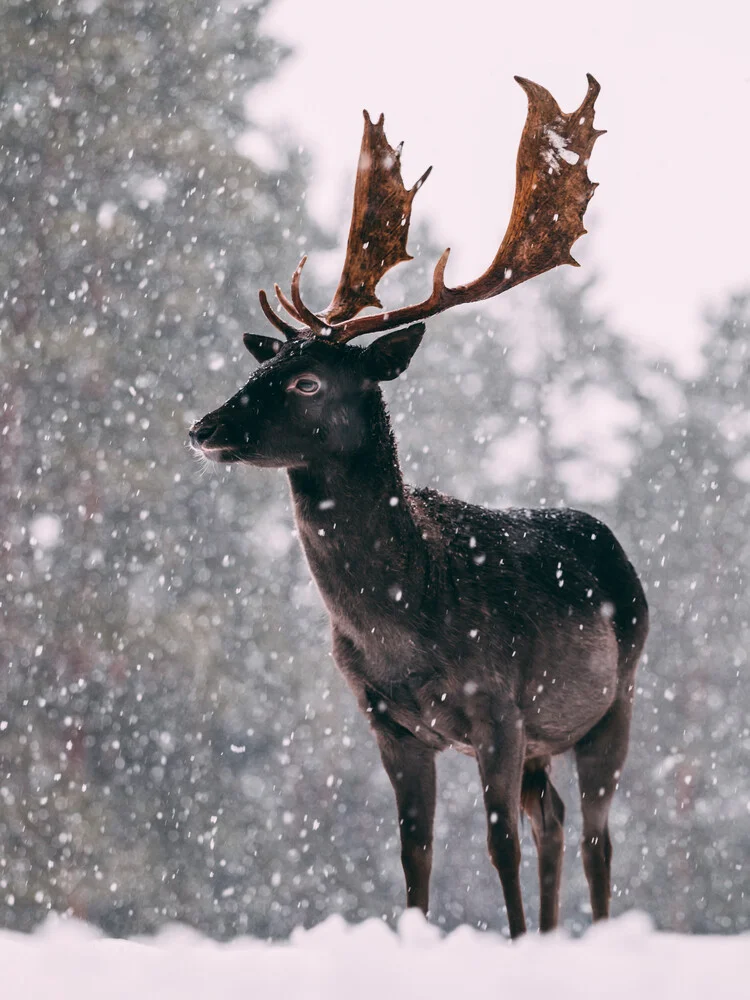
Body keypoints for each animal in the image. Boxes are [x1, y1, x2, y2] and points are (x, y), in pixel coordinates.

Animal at [192, 76, 652, 936]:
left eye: (309, 381)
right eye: (265, 365)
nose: (203, 427)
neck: (400, 627)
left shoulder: (499, 708)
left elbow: (497, 845)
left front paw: (509, 941)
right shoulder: (389, 723)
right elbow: (414, 853)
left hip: (617, 697)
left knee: (597, 836)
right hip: (547, 738)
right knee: (556, 819)